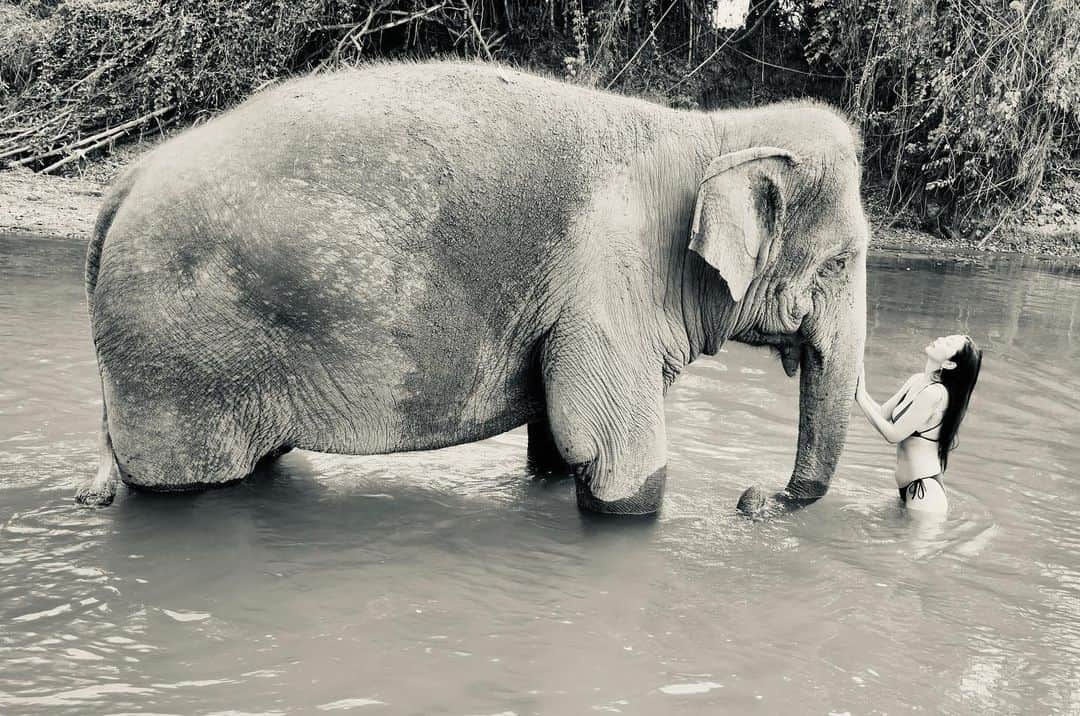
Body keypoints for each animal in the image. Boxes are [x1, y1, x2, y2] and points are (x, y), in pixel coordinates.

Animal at [76, 61, 868, 516]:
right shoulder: (609, 286)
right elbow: (621, 464)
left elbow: (561, 442)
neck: (709, 133)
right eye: (841, 261)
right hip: (180, 356)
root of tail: (123, 183)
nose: (753, 499)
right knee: (189, 484)